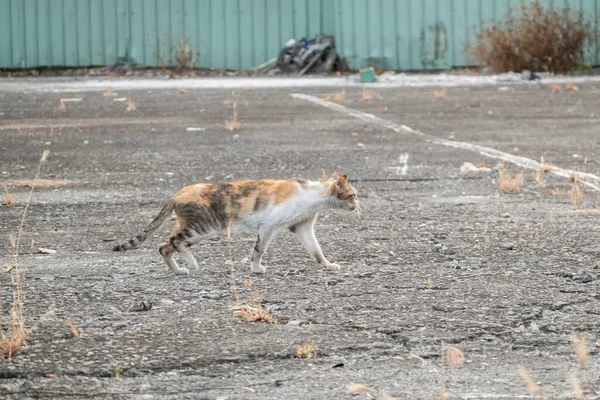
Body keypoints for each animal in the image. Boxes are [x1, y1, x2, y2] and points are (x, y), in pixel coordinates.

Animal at [113, 172, 358, 276]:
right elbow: (259, 250)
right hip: (203, 229)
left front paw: (327, 265)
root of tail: (178, 192)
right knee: (173, 242)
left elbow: (316, 250)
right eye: (353, 195)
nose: (358, 205)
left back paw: (179, 270)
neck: (313, 195)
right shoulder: (268, 226)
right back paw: (191, 264)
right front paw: (256, 268)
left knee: (164, 246)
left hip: (193, 229)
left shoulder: (302, 226)